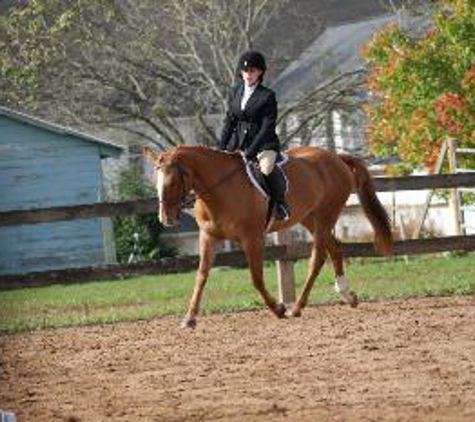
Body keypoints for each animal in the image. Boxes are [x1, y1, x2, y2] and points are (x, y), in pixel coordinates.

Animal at [144, 143, 394, 328]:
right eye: (156, 182)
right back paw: (347, 295)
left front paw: (278, 308)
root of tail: (335, 157)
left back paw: (297, 307)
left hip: (326, 214)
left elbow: (256, 278)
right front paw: (189, 318)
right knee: (333, 248)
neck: (219, 190)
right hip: (309, 217)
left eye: (172, 182)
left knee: (317, 257)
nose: (166, 218)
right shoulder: (208, 237)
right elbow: (201, 276)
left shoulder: (252, 238)